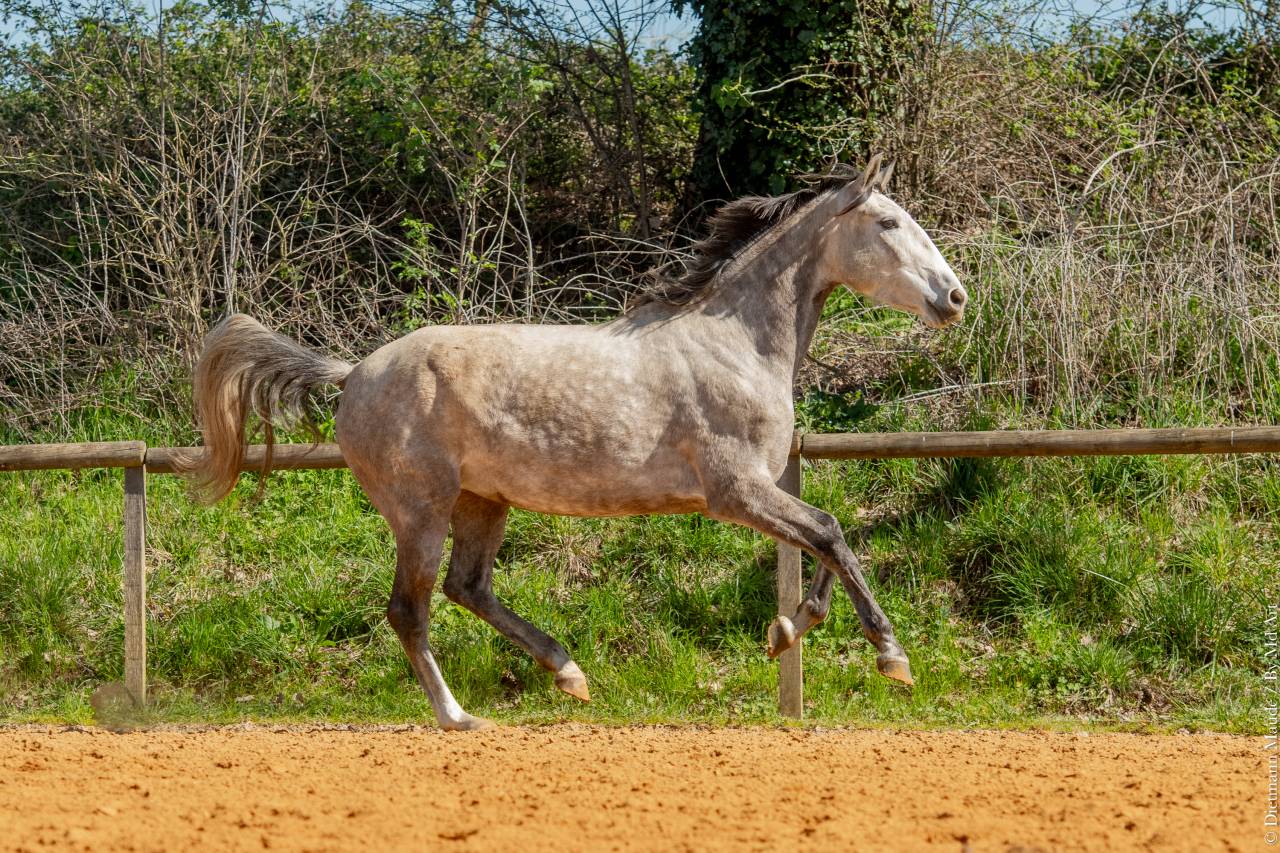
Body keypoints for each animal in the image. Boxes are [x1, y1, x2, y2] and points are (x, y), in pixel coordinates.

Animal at [180, 156, 968, 730]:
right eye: (890, 223)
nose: (954, 298)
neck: (736, 343)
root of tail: (353, 373)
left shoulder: (761, 489)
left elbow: (826, 541)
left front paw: (786, 629)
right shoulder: (734, 490)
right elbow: (830, 532)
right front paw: (891, 658)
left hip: (482, 501)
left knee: (469, 587)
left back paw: (568, 672)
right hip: (420, 510)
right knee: (411, 609)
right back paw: (459, 716)